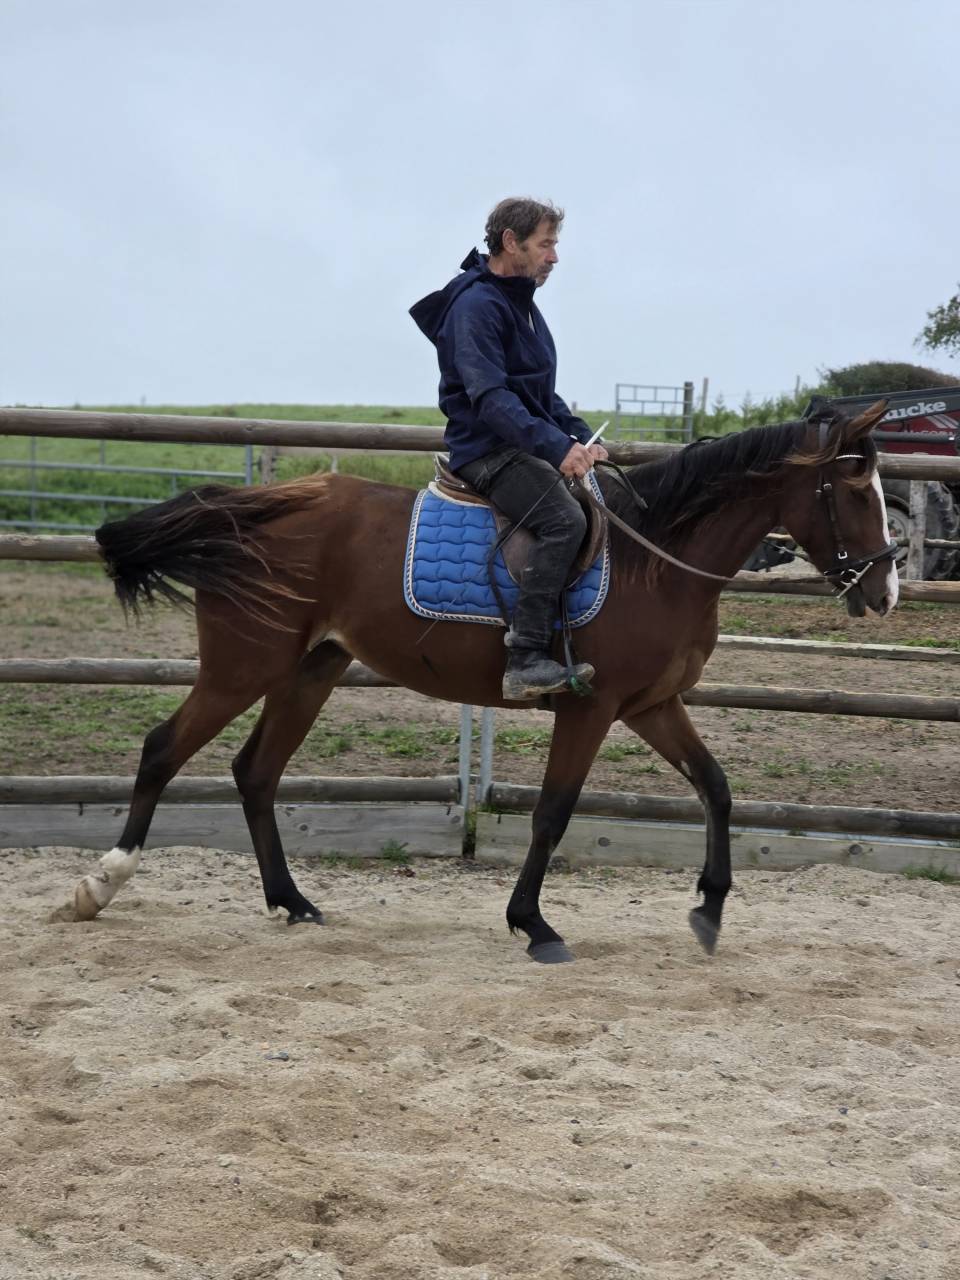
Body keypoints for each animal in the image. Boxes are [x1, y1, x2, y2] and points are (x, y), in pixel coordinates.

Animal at [72, 399, 897, 962]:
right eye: (859, 492)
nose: (885, 592)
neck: (655, 560)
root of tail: (259, 505)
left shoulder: (653, 704)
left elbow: (717, 788)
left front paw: (711, 909)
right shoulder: (592, 707)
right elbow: (552, 815)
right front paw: (532, 923)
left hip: (310, 670)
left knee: (255, 773)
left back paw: (292, 901)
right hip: (243, 668)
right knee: (162, 750)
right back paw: (100, 884)